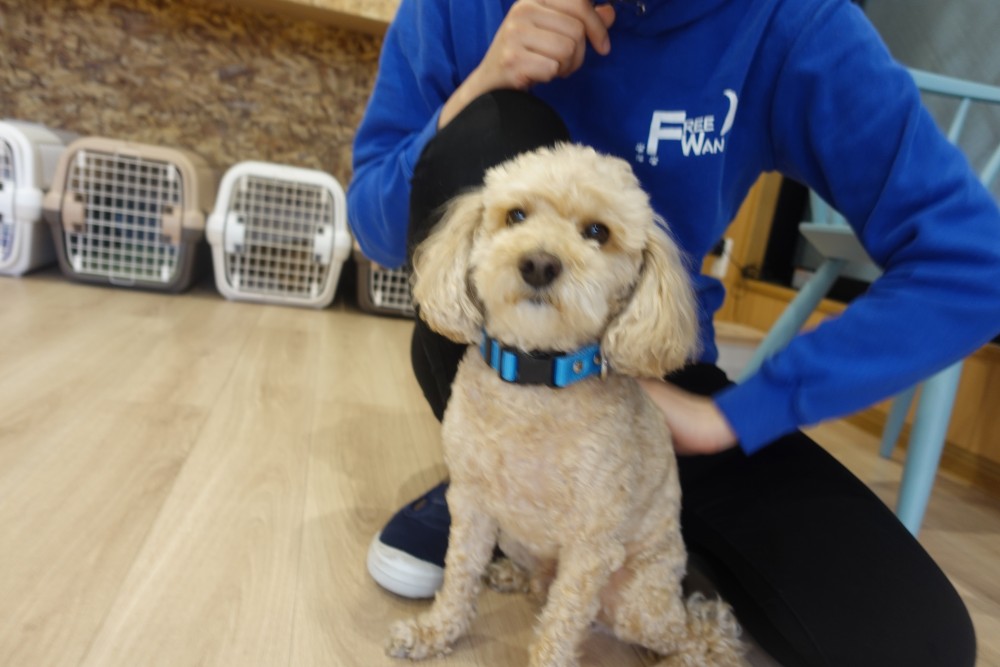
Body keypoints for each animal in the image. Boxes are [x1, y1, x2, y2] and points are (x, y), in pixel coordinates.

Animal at [388, 143, 746, 667]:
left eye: (597, 232)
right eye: (515, 215)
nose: (538, 264)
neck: (535, 383)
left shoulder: (590, 547)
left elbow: (560, 625)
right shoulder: (471, 506)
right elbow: (457, 578)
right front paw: (432, 633)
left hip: (637, 600)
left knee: (690, 635)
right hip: (519, 539)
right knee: (541, 583)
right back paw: (512, 575)